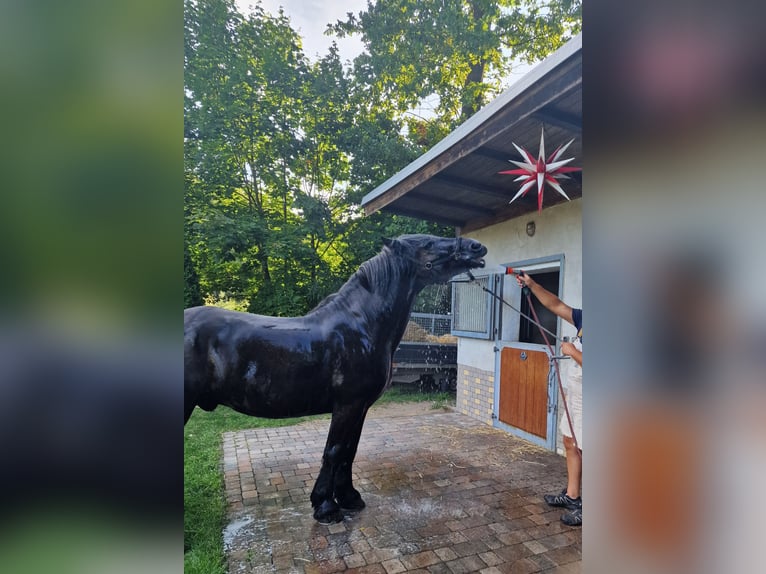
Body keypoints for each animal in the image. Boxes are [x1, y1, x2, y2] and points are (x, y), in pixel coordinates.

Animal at [184, 234, 487, 523]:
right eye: (427, 243)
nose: (476, 247)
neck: (361, 325)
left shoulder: (360, 407)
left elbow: (349, 452)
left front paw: (349, 498)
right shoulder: (347, 405)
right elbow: (334, 451)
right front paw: (326, 507)